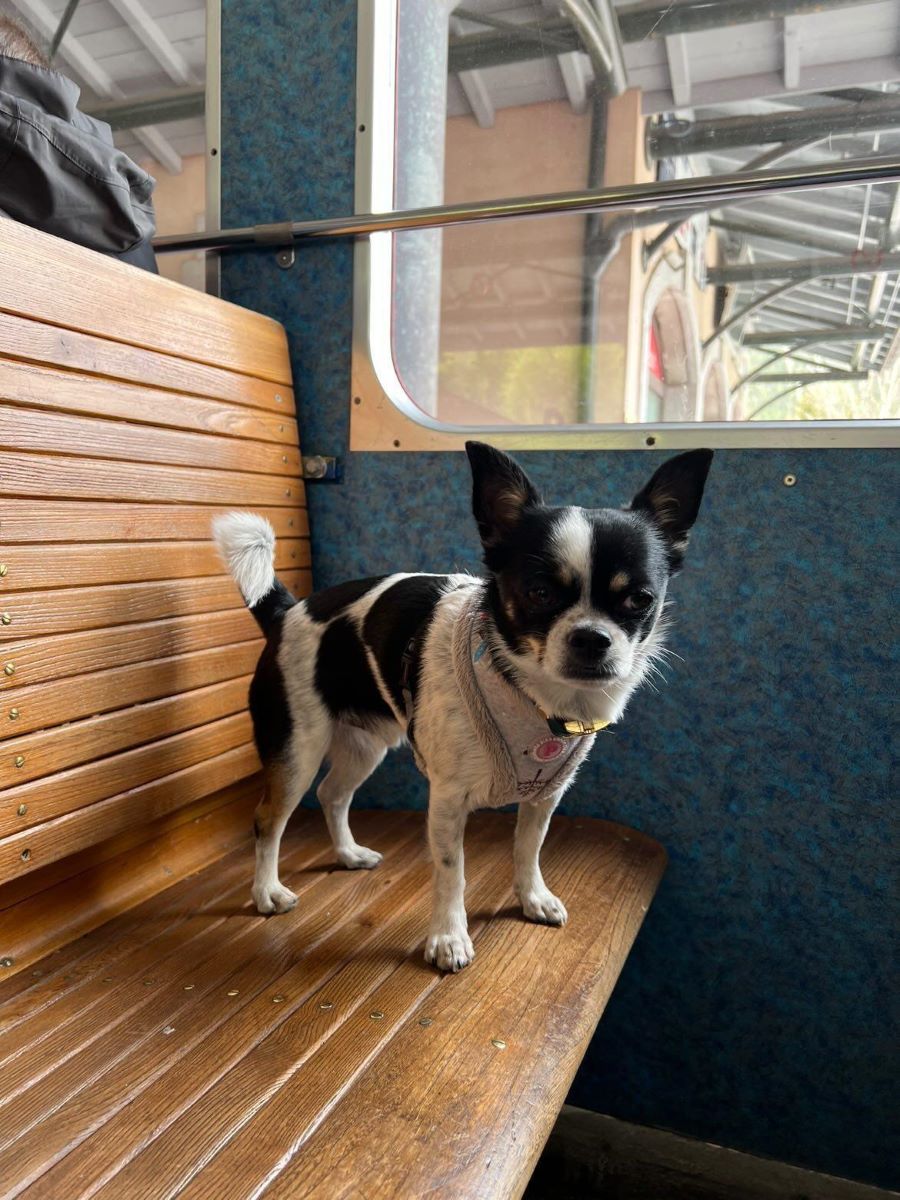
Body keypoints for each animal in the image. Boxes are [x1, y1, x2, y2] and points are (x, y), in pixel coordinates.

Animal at [214, 446, 715, 969]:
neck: (532, 695)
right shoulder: (448, 800)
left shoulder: (545, 795)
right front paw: (448, 938)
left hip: (365, 746)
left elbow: (528, 849)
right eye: (539, 593)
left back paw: (348, 853)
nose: (592, 637)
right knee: (269, 820)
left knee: (332, 793)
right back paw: (267, 891)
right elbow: (451, 872)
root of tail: (287, 611)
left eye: (640, 599)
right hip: (298, 750)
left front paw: (532, 898)